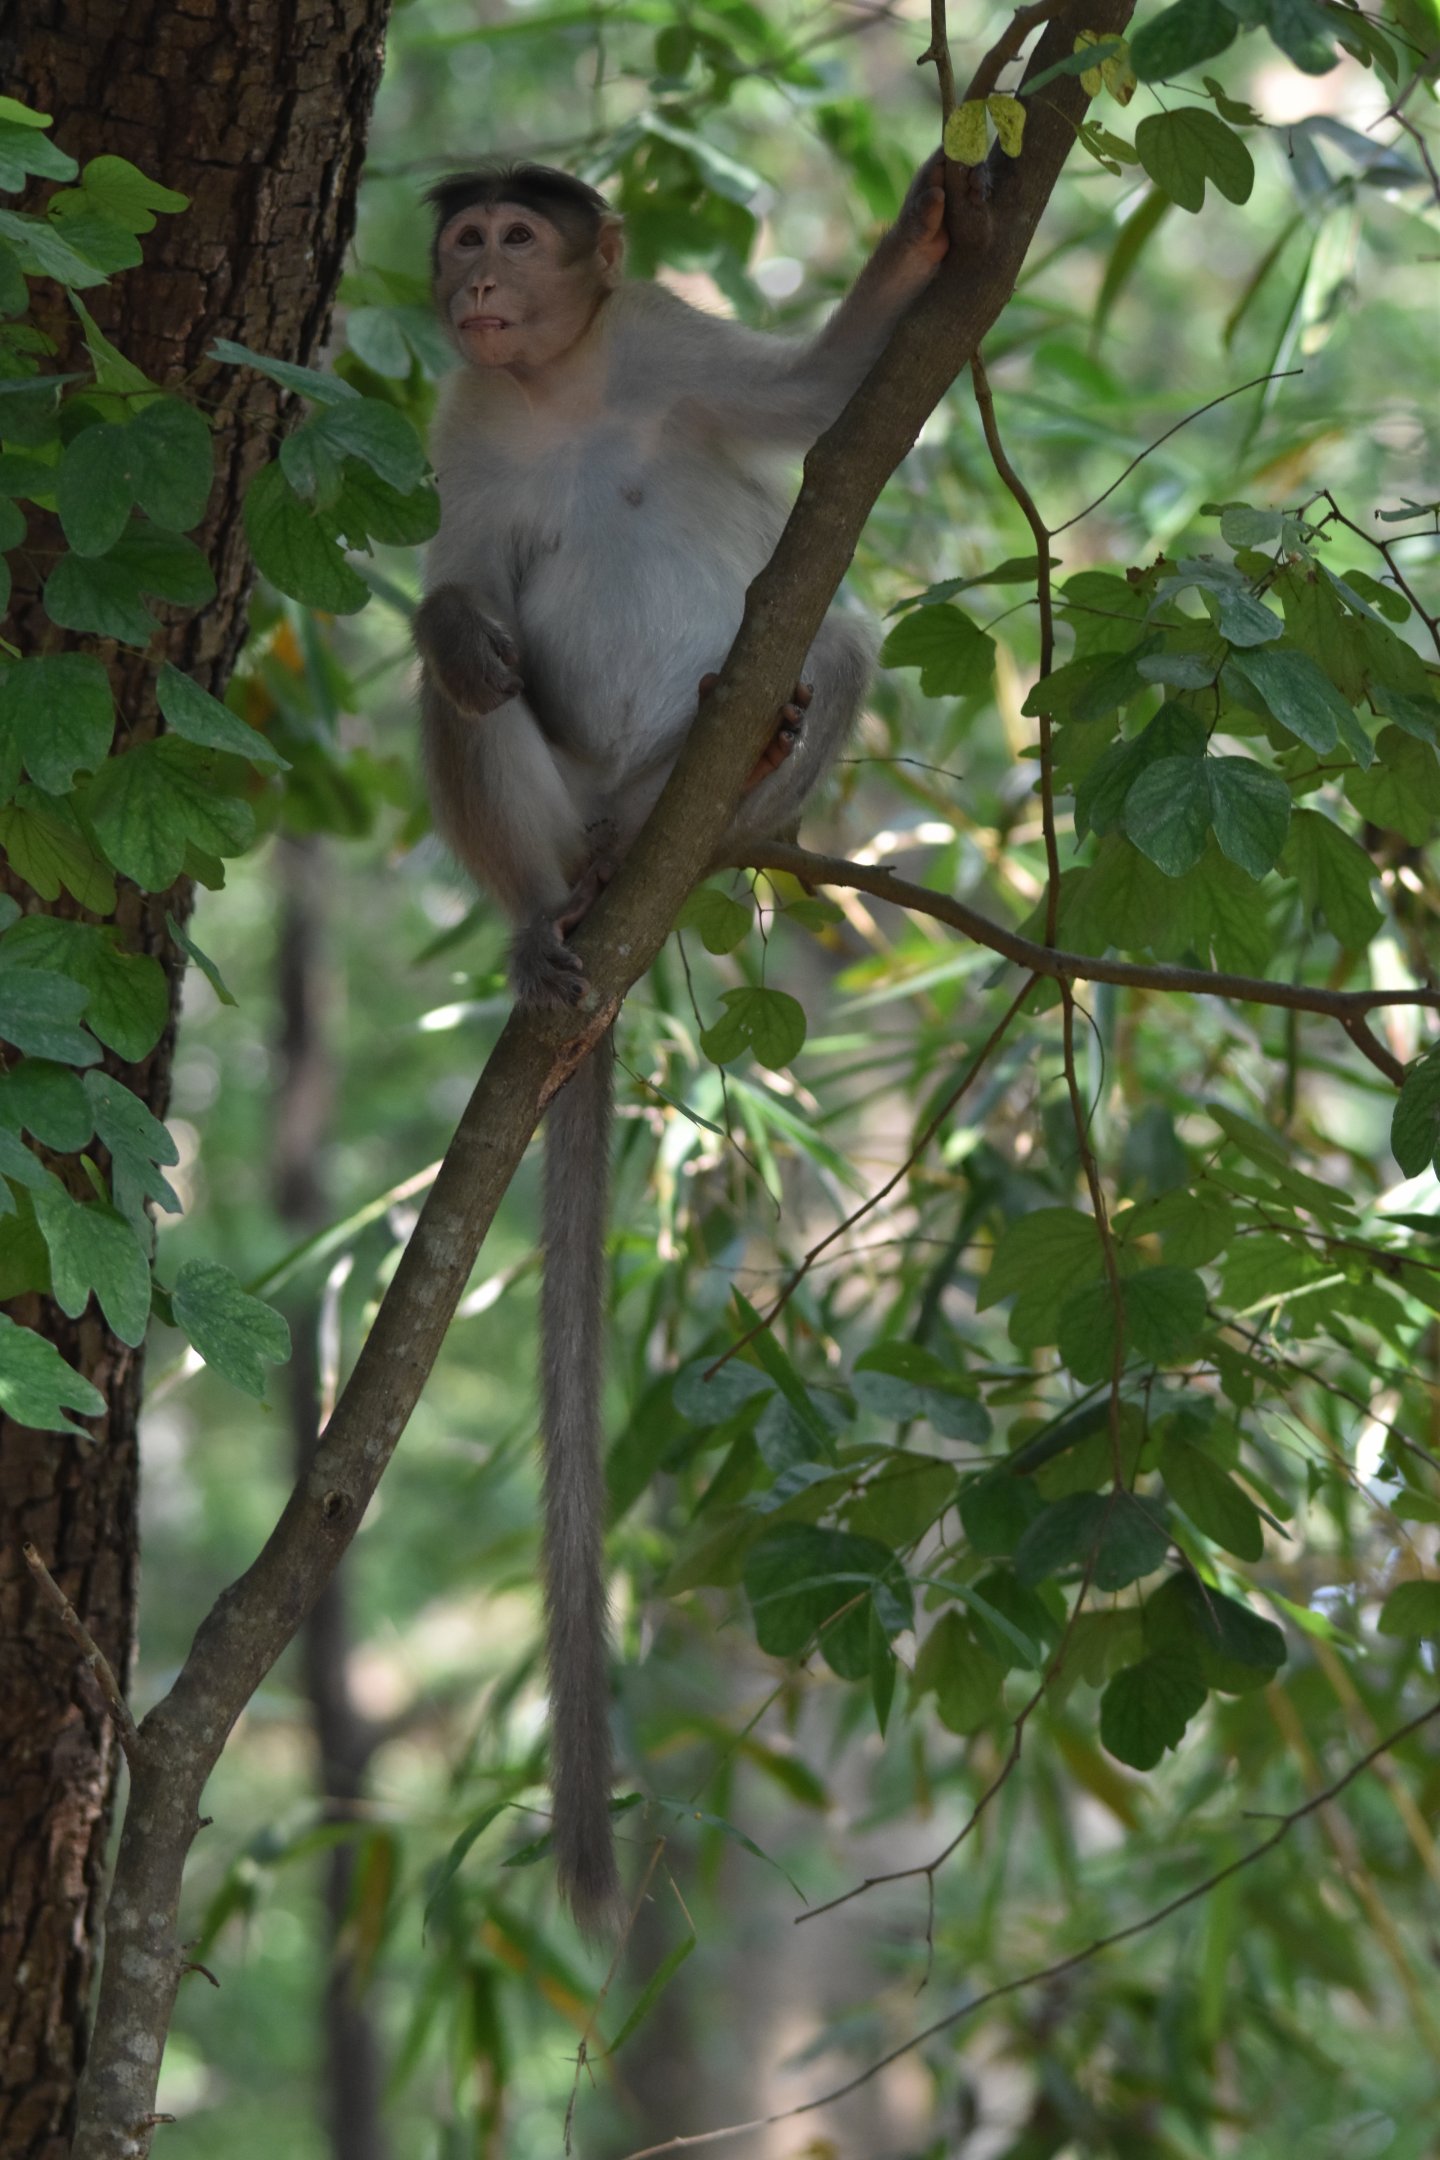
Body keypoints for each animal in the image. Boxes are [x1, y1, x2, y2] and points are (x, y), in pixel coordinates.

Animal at [414, 156, 949, 1934]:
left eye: (513, 237)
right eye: (465, 238)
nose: (468, 277)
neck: (557, 389)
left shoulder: (663, 341)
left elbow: (819, 398)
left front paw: (942, 222)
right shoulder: (463, 424)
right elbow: (458, 585)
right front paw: (453, 623)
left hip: (679, 771)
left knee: (837, 640)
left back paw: (750, 778)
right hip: (566, 806)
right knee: (469, 701)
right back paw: (546, 918)